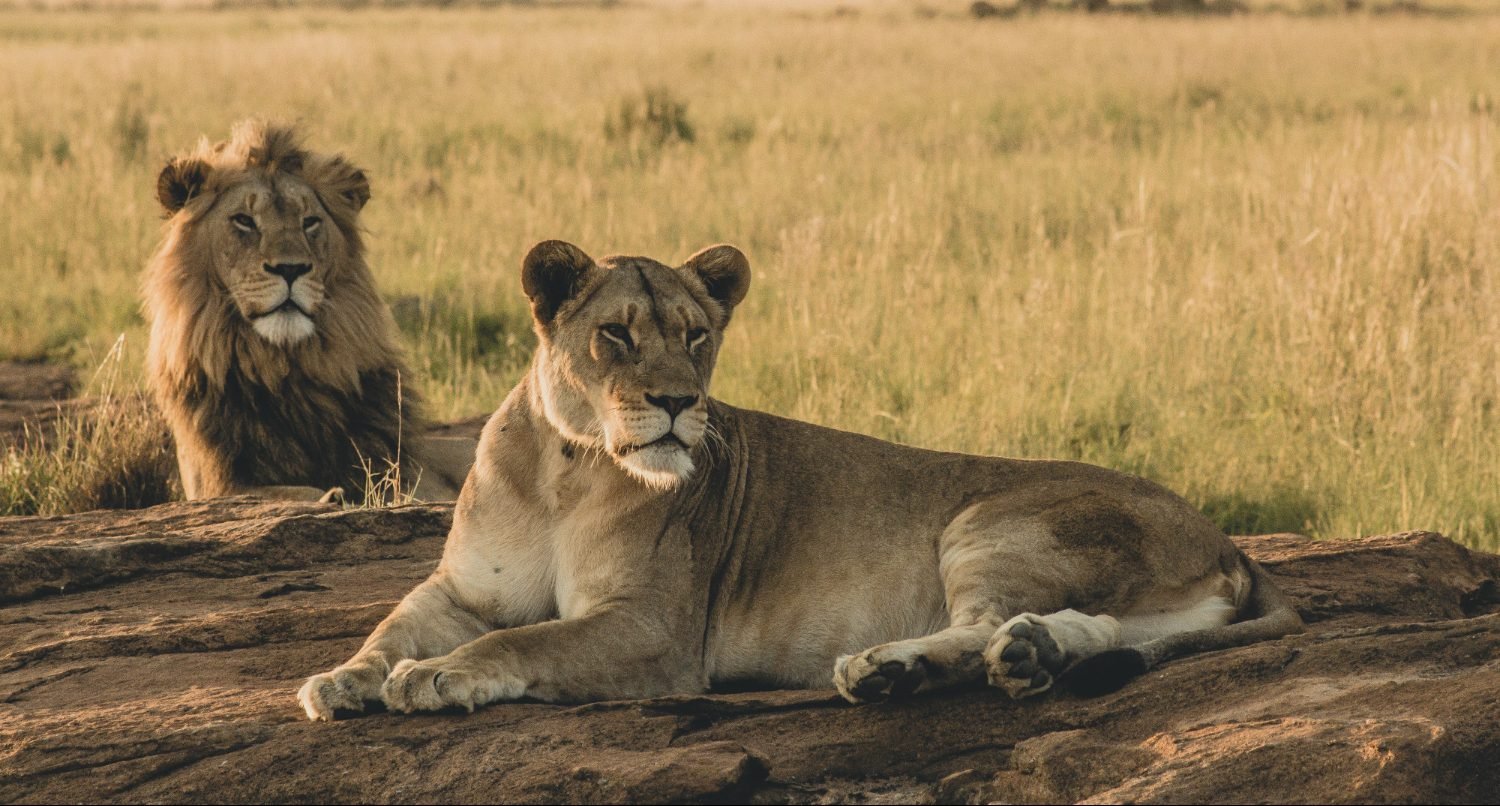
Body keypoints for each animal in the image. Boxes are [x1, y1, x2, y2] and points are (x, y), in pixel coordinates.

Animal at [144, 121, 474, 498]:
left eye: (310, 221)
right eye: (244, 220)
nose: (291, 269)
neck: (285, 370)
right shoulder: (220, 483)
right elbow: (288, 492)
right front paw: (331, 496)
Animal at [295, 240, 1302, 717]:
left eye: (697, 335)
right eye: (615, 334)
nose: (677, 401)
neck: (564, 467)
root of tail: (1227, 540)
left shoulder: (656, 632)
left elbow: (524, 641)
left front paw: (438, 678)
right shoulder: (460, 588)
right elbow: (391, 628)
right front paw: (340, 680)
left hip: (990, 519)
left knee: (981, 623)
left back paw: (890, 669)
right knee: (1086, 630)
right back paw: (1028, 657)